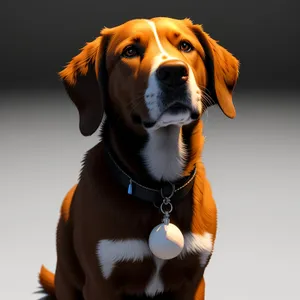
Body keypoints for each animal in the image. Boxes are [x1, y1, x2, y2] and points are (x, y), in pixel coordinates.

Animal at [37, 17, 239, 300]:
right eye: (130, 51)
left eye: (186, 46)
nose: (174, 72)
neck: (161, 189)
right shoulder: (101, 283)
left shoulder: (194, 280)